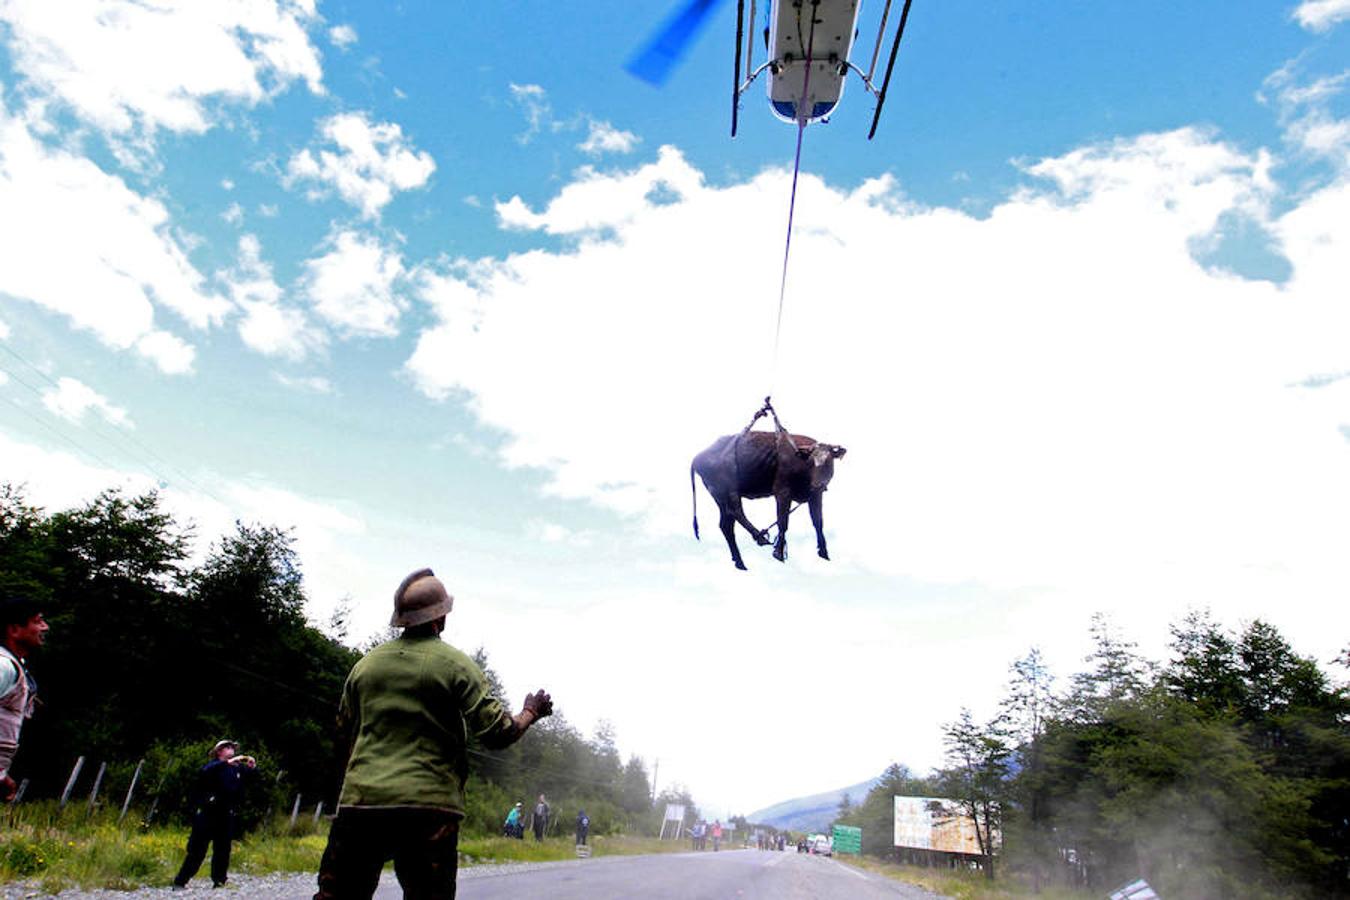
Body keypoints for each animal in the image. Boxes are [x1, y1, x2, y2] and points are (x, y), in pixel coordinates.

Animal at [696, 402, 842, 569]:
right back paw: (759, 537)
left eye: (829, 462)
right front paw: (778, 552)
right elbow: (782, 521)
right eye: (812, 461)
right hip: (726, 489)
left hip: (719, 496)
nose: (819, 484)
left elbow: (818, 522)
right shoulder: (782, 491)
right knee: (735, 512)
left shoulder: (815, 495)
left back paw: (740, 561)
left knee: (726, 524)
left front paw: (823, 551)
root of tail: (698, 457)